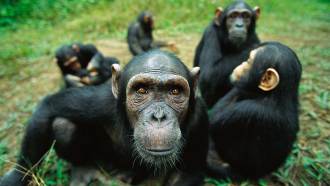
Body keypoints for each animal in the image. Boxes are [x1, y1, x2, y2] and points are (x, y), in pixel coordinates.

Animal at [0, 50, 208, 186]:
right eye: (142, 90)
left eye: (175, 91)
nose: (158, 116)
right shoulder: (99, 102)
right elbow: (49, 107)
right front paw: (15, 178)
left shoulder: (200, 117)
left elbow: (188, 173)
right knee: (62, 124)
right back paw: (83, 169)